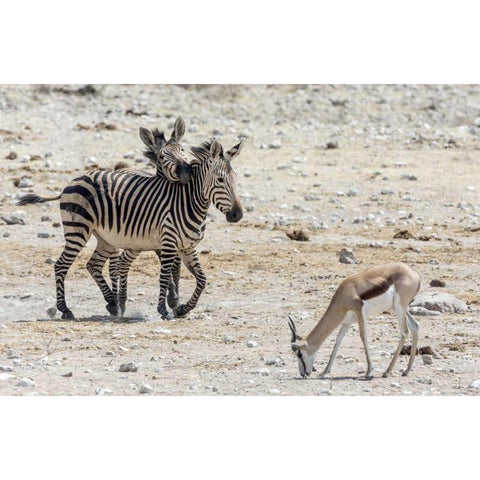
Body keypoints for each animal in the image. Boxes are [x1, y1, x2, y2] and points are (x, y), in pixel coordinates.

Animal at [17, 135, 244, 320]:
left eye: (235, 180)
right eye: (220, 180)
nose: (237, 215)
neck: (189, 202)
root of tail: (72, 181)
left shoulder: (187, 247)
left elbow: (202, 279)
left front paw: (182, 309)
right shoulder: (169, 243)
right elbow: (164, 276)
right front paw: (164, 310)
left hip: (105, 238)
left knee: (93, 265)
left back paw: (113, 303)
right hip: (77, 230)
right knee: (61, 265)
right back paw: (65, 309)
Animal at [288, 262, 420, 378]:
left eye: (299, 354)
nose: (303, 373)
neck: (345, 293)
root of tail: (416, 274)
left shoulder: (359, 310)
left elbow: (363, 336)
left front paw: (369, 371)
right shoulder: (347, 322)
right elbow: (338, 340)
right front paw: (325, 372)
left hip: (399, 307)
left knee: (404, 332)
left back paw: (387, 372)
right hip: (399, 308)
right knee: (415, 326)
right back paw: (406, 371)